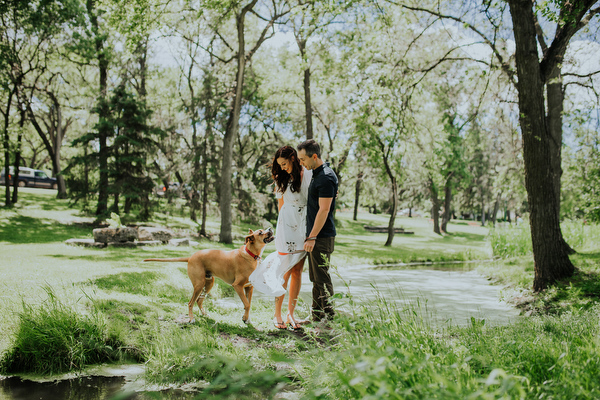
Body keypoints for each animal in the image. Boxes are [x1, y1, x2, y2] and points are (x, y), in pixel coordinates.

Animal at [144, 227, 276, 324]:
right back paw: (191, 319)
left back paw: (204, 314)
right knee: (191, 302)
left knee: (199, 300)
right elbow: (247, 304)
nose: (270, 227)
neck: (250, 255)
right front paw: (244, 318)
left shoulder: (249, 287)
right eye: (260, 232)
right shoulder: (237, 286)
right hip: (199, 284)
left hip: (208, 283)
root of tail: (191, 257)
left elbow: (248, 304)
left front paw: (247, 319)